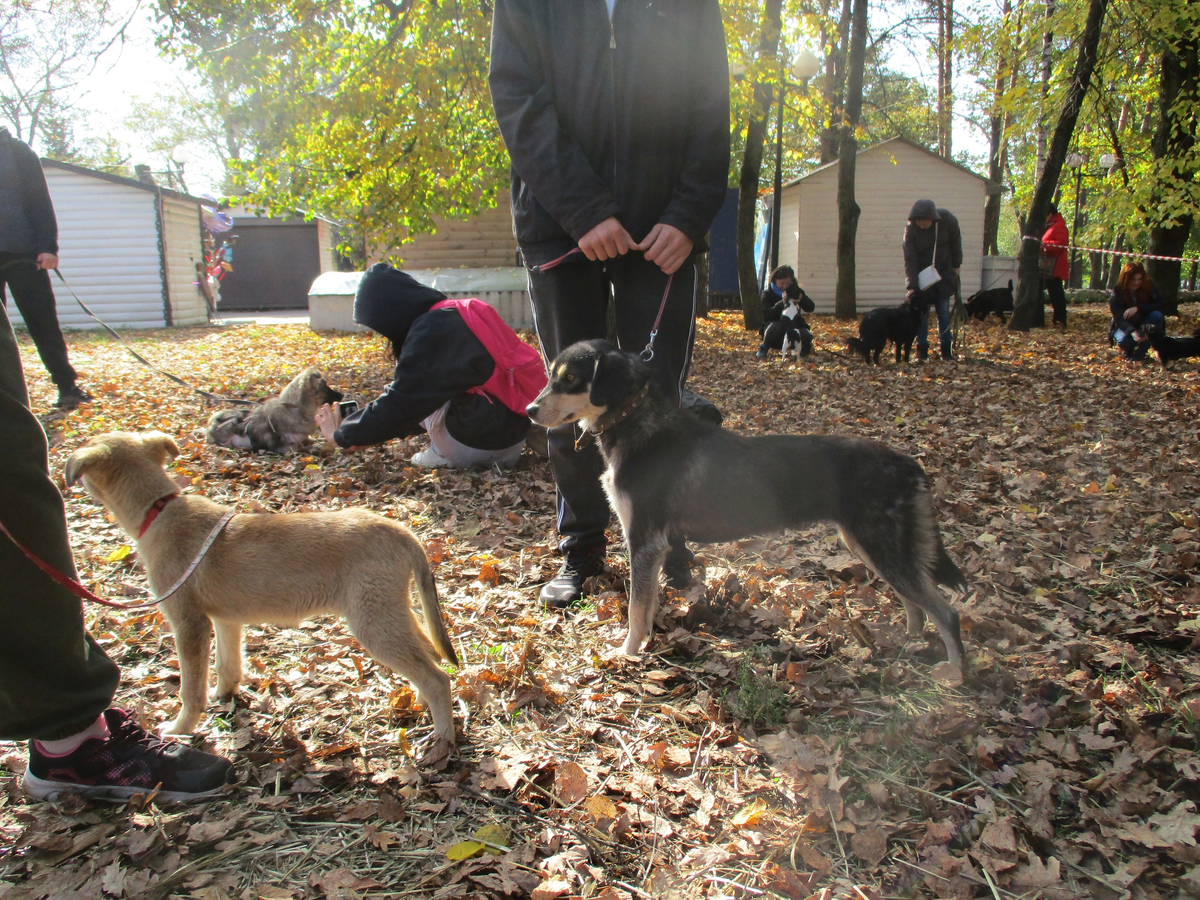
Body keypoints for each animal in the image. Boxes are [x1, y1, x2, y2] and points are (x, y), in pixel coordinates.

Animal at [65, 434, 458, 748]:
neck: (160, 510)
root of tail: (402, 532)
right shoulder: (225, 621)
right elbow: (228, 666)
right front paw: (225, 697)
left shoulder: (189, 624)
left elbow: (191, 689)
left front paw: (180, 728)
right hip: (391, 612)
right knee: (429, 656)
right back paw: (421, 705)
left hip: (373, 622)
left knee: (437, 678)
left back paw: (442, 738)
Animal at [525, 340, 964, 672]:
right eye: (551, 376)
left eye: (571, 379)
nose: (529, 410)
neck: (638, 426)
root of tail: (910, 464)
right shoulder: (653, 546)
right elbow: (646, 606)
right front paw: (643, 644)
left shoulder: (645, 541)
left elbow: (636, 607)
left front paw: (627, 652)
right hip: (870, 547)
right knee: (917, 605)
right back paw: (910, 643)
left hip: (882, 547)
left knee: (945, 612)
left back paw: (954, 673)